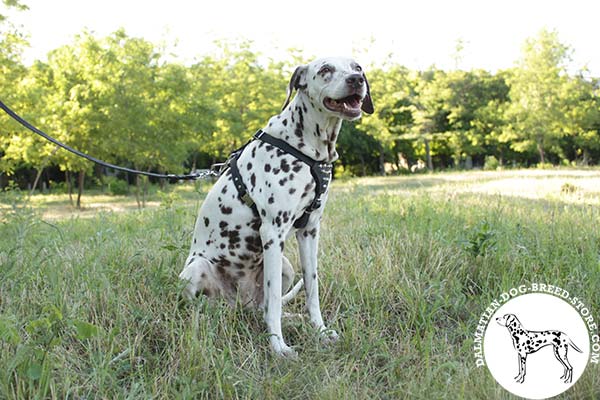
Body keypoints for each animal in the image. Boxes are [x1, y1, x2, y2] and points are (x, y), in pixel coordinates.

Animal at [180, 56, 372, 356]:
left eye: (358, 67)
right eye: (325, 69)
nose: (356, 80)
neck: (308, 150)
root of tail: (240, 304)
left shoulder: (309, 231)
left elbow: (312, 289)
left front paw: (319, 330)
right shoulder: (273, 232)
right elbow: (273, 304)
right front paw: (278, 346)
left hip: (286, 266)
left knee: (264, 307)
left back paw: (294, 319)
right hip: (196, 269)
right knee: (215, 308)